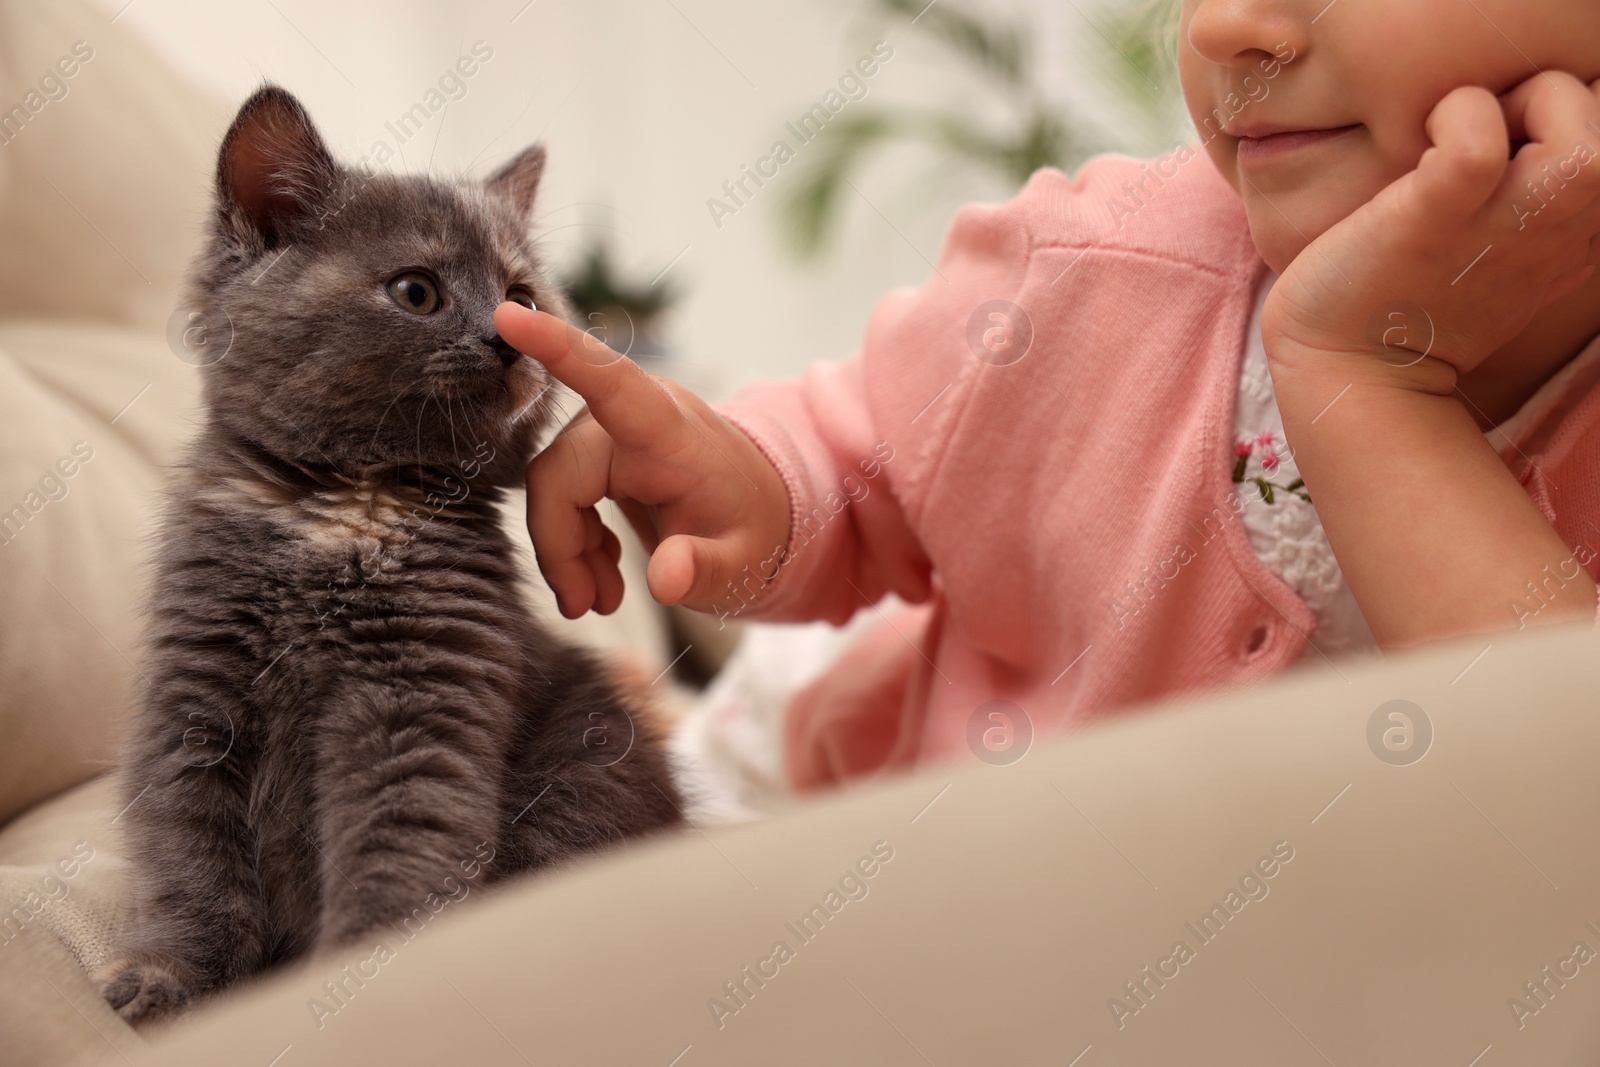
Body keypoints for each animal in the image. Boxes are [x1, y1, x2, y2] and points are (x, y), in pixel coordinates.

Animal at [93, 87, 681, 1023]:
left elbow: (396, 852)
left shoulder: (417, 703)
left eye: (523, 296)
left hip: (587, 769)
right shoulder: (193, 692)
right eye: (417, 291)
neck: (350, 504)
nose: (509, 338)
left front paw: (359, 979)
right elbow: (188, 853)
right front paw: (169, 974)